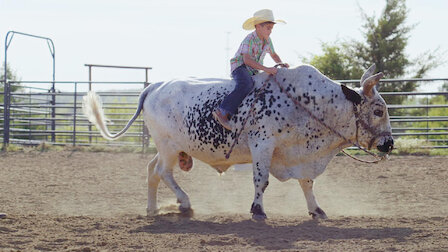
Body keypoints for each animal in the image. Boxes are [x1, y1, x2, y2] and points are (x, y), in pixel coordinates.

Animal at [83, 64, 392, 220]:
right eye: (378, 110)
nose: (388, 144)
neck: (305, 103)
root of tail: (154, 86)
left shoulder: (299, 155)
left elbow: (306, 184)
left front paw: (316, 210)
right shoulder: (263, 145)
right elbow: (261, 181)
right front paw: (257, 210)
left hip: (166, 147)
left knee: (152, 170)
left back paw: (153, 209)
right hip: (168, 146)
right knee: (163, 172)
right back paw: (184, 203)